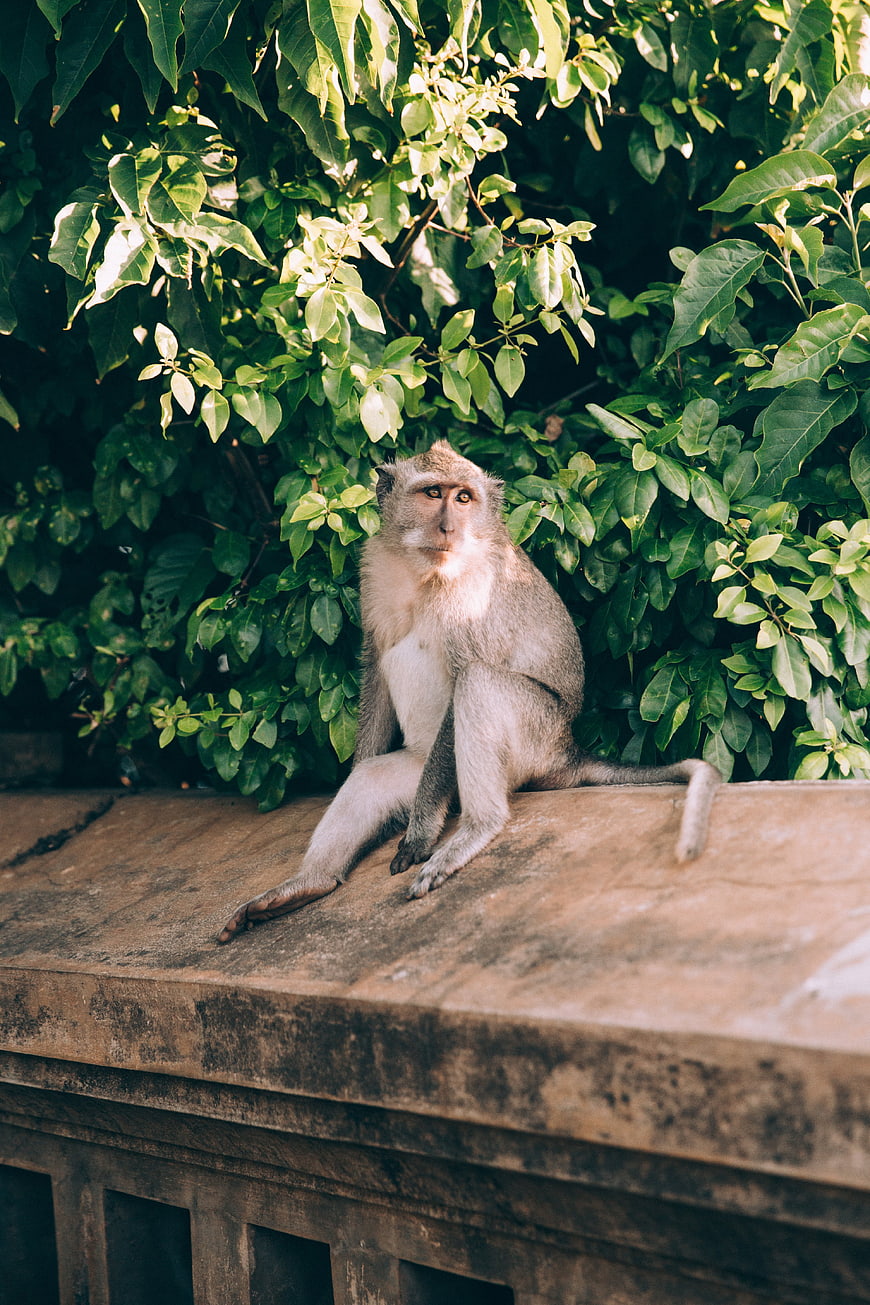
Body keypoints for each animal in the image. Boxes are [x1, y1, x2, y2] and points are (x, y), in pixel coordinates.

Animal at [217, 441, 720, 943]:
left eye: (463, 498)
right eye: (432, 493)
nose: (448, 527)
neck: (423, 571)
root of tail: (568, 752)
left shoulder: (472, 598)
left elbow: (465, 673)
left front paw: (420, 835)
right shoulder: (374, 568)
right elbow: (375, 665)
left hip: (534, 740)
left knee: (480, 682)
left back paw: (477, 828)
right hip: (430, 771)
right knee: (375, 778)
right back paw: (309, 883)